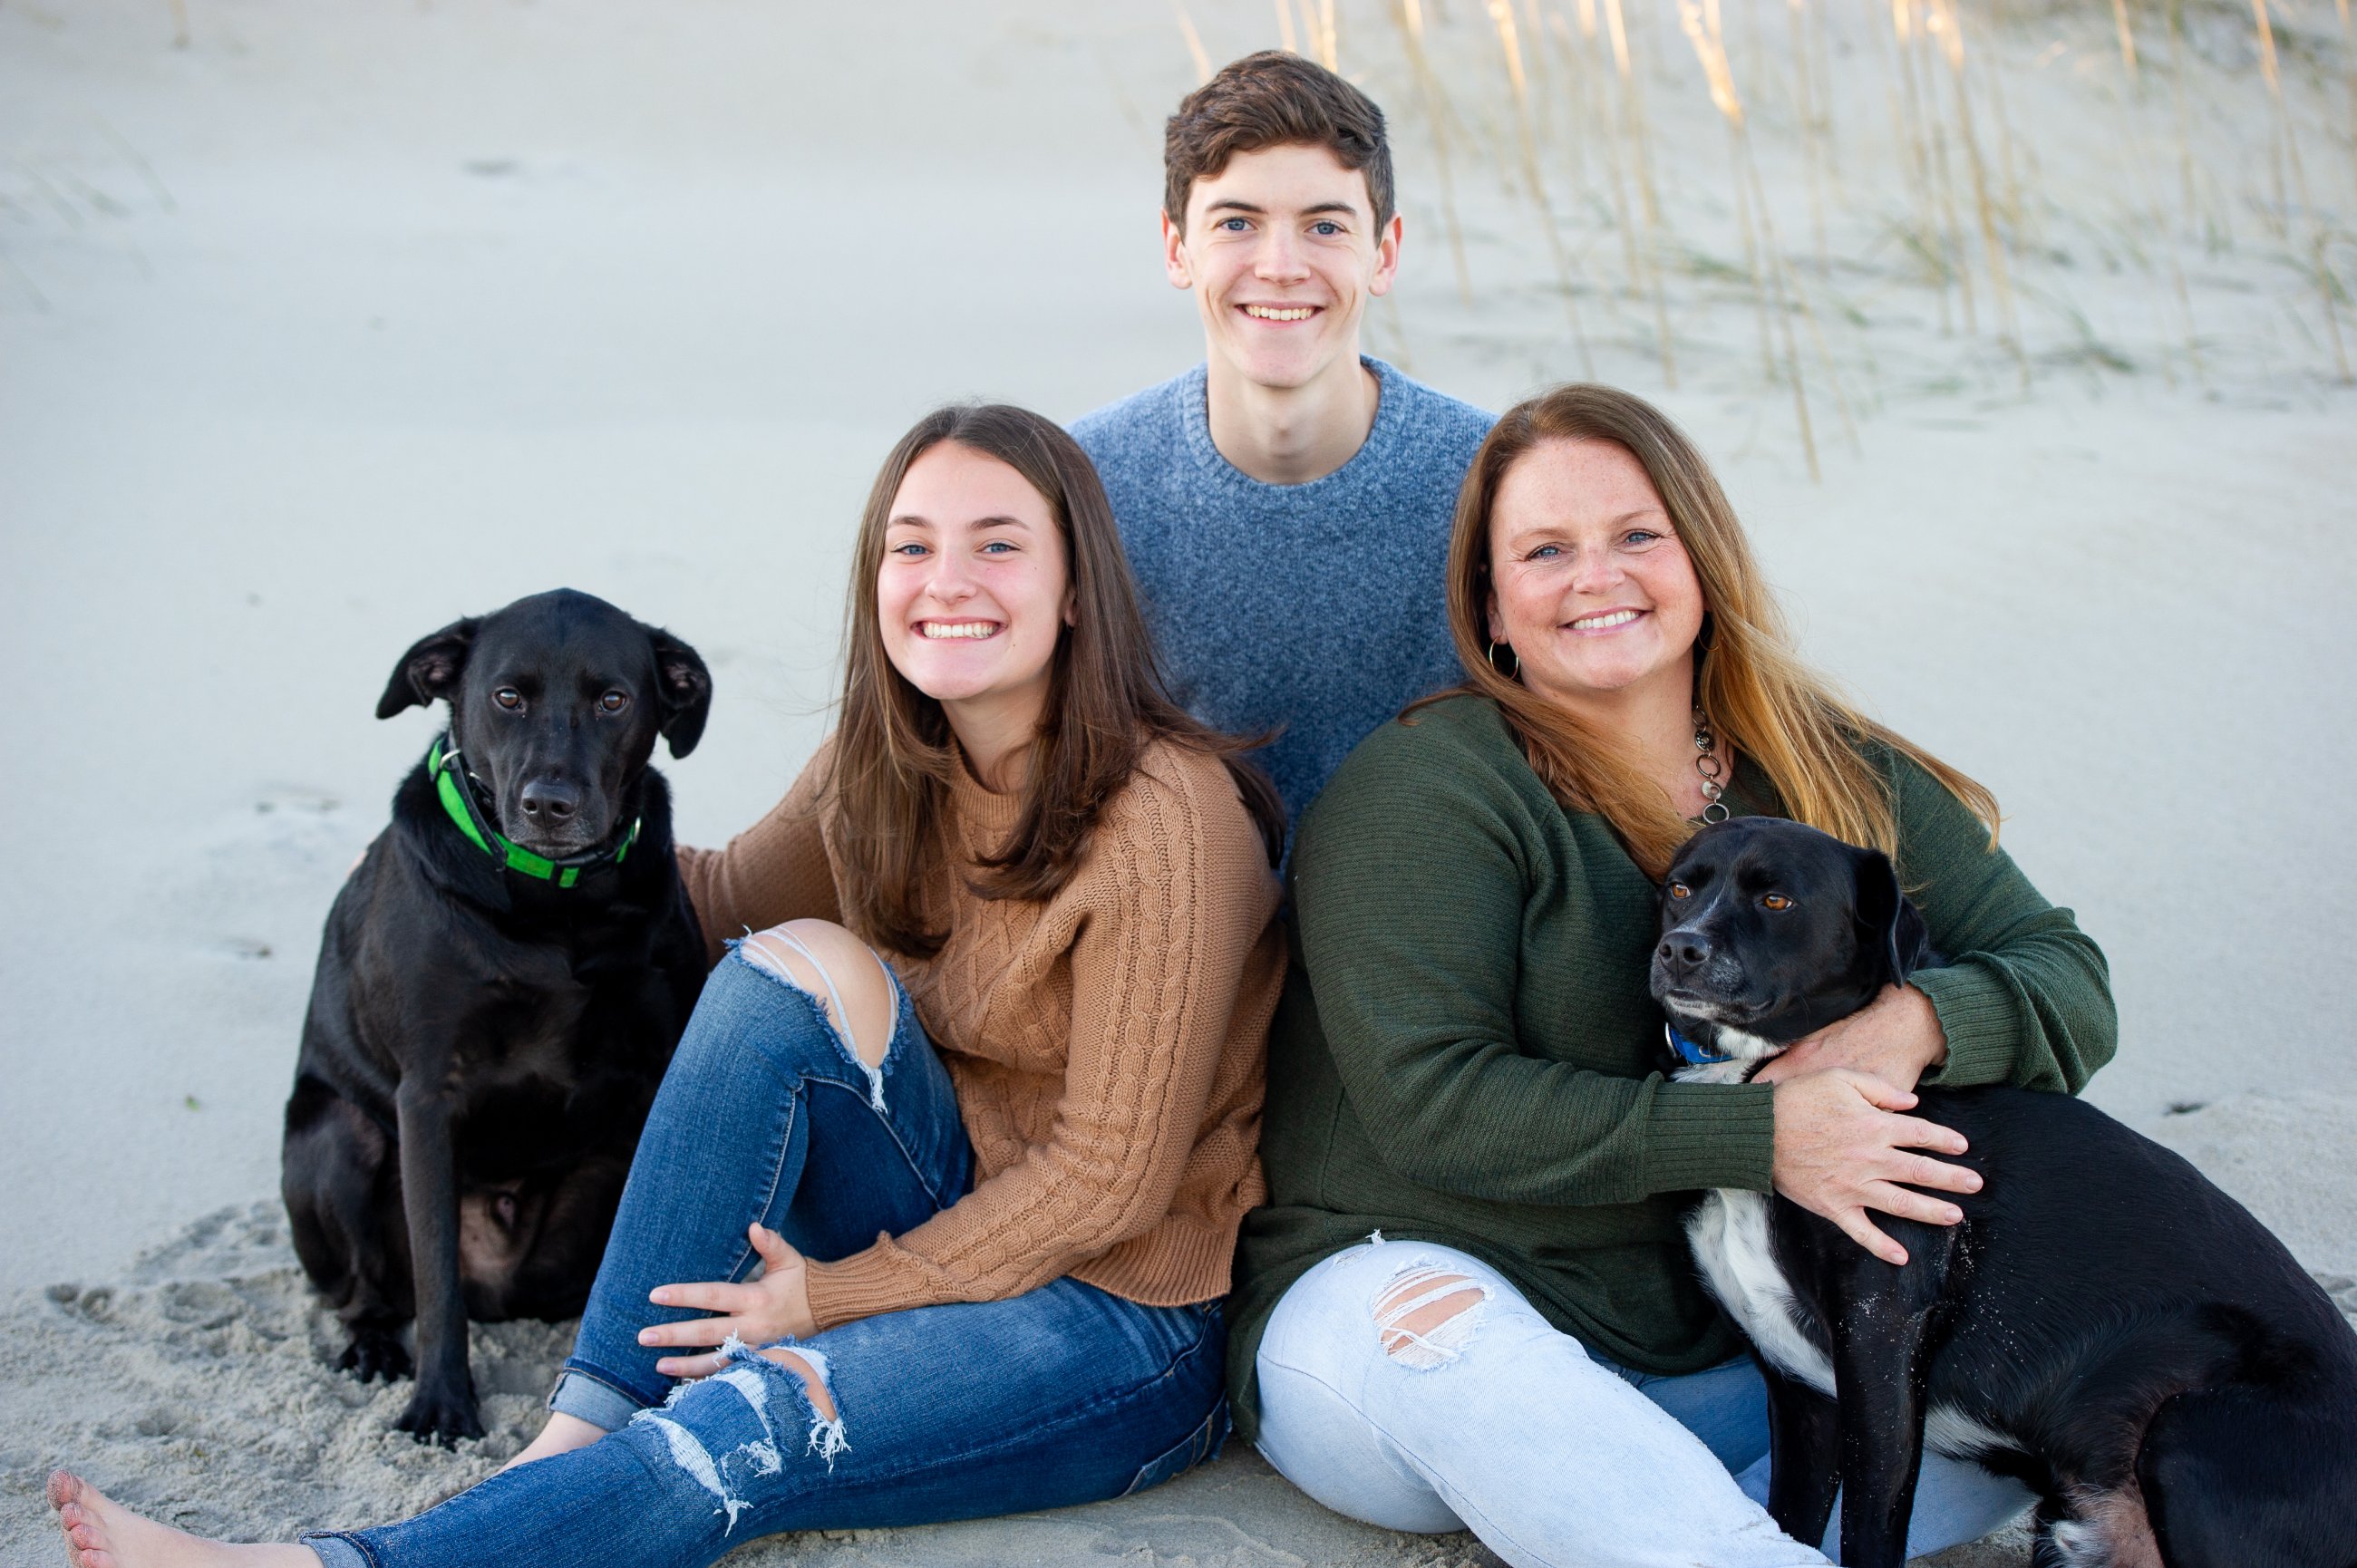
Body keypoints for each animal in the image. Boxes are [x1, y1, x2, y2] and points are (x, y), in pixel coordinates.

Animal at [283, 586, 707, 1443]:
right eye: (507, 697)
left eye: (613, 700)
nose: (550, 804)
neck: (558, 903)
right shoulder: (426, 1094)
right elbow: (436, 1281)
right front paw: (441, 1404)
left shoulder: (657, 1066)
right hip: (336, 1138)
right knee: (370, 1292)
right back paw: (373, 1346)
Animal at [1649, 820, 2357, 1565]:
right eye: (1679, 890)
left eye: (1777, 900)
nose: (1680, 948)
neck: (1756, 1073)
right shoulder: (1802, 1390)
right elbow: (1793, 1527)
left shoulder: (1878, 1339)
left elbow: (1869, 1529)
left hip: (2194, 1429)